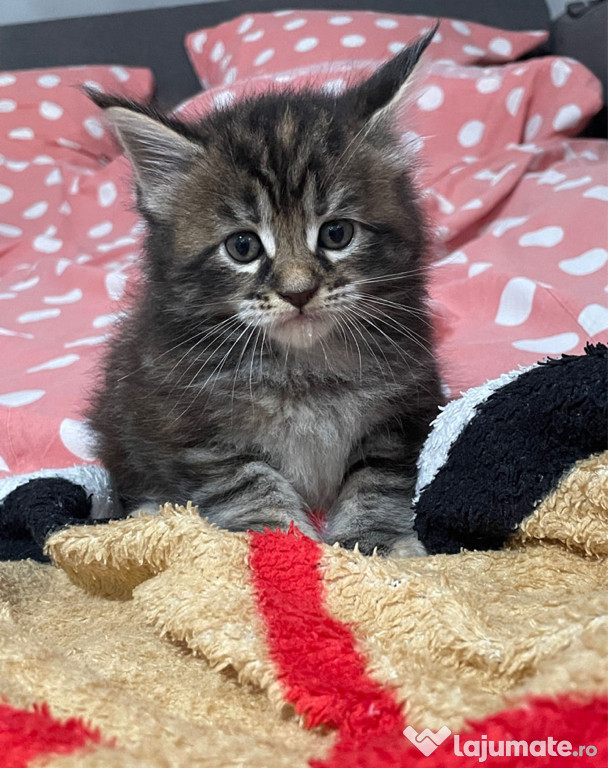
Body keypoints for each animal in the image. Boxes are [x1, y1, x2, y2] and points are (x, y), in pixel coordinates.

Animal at [86, 30, 442, 556]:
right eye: (243, 246)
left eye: (336, 234)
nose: (298, 291)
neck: (303, 372)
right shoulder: (193, 428)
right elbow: (252, 485)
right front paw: (280, 544)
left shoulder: (407, 409)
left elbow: (376, 481)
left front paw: (367, 544)